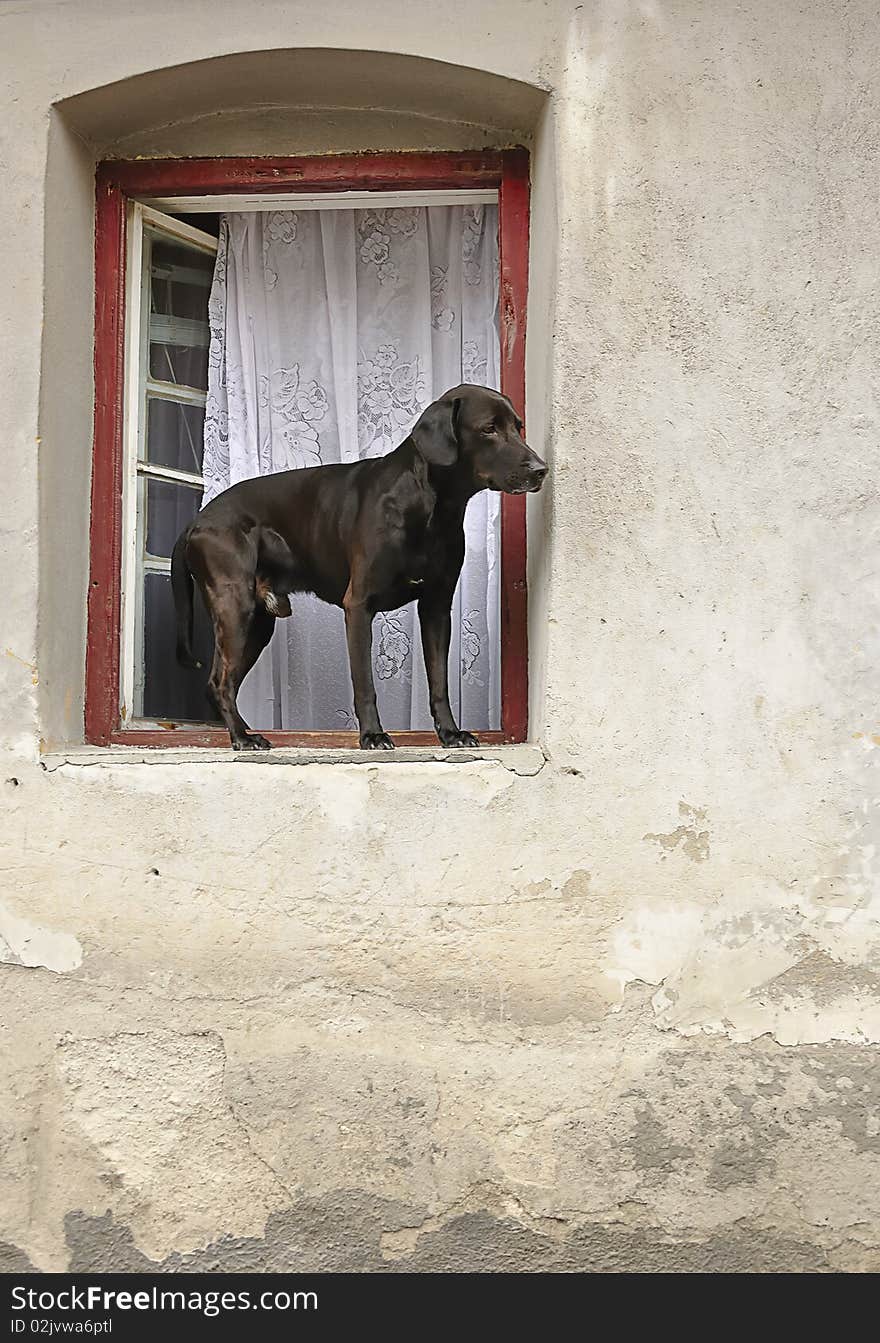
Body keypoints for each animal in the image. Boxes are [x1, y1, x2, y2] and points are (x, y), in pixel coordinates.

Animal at [169, 384, 548, 752]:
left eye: (518, 427)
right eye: (488, 429)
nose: (541, 469)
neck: (431, 510)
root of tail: (196, 522)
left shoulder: (437, 609)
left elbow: (439, 683)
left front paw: (451, 734)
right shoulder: (359, 605)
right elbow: (365, 682)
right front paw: (373, 735)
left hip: (259, 623)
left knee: (220, 682)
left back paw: (243, 732)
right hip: (237, 609)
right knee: (220, 682)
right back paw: (243, 738)